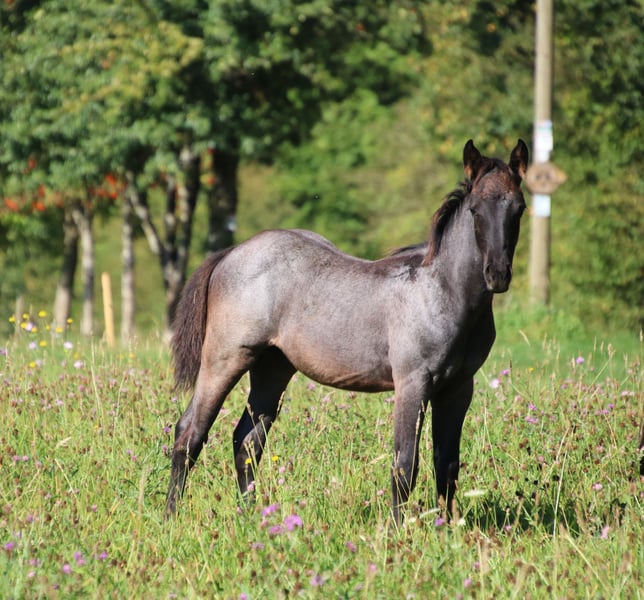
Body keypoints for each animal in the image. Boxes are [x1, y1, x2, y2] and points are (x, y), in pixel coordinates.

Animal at [165, 139, 529, 525]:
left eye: (519, 208)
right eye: (475, 210)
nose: (497, 274)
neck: (442, 290)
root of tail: (231, 252)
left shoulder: (458, 388)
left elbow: (446, 464)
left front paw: (445, 527)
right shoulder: (413, 383)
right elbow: (405, 464)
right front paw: (399, 531)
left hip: (272, 368)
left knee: (247, 440)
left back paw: (252, 517)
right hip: (226, 359)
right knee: (190, 432)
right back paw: (171, 516)